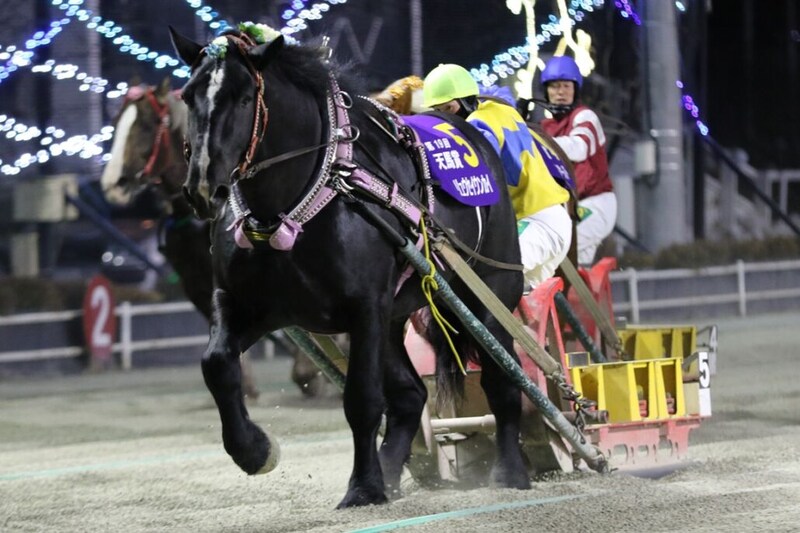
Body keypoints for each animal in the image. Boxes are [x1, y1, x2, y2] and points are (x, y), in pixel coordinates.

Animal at [99, 80, 325, 398]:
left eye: (146, 125)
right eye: (117, 122)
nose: (113, 184)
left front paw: (309, 372)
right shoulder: (196, 281)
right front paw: (245, 382)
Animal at [169, 23, 528, 508]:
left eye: (244, 99)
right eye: (188, 95)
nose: (204, 187)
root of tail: (470, 132)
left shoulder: (364, 307)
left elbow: (362, 399)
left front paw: (363, 487)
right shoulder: (250, 304)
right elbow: (216, 363)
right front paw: (255, 450)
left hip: (489, 292)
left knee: (502, 379)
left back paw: (510, 472)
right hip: (394, 317)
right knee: (410, 395)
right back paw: (392, 471)